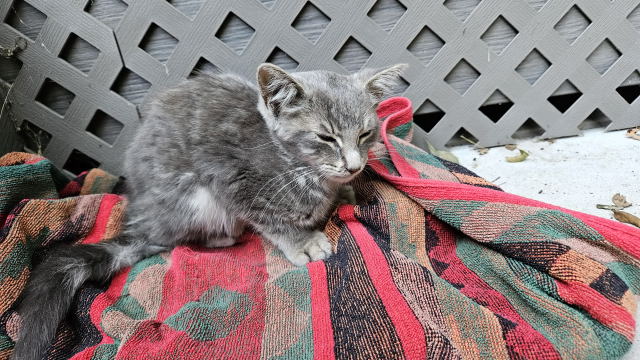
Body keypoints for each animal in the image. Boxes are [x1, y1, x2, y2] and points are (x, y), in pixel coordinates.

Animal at [11, 63, 404, 358]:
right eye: (326, 137)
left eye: (365, 134)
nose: (354, 166)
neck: (294, 163)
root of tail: (143, 222)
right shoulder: (231, 178)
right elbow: (268, 217)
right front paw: (302, 241)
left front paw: (345, 193)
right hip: (196, 197)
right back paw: (222, 238)